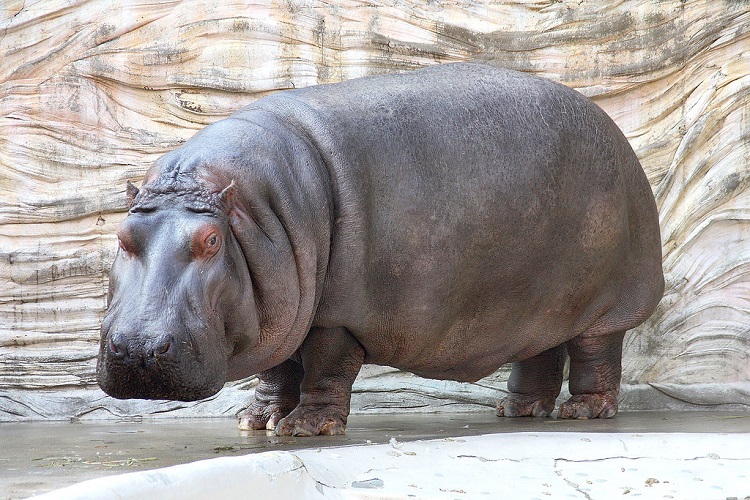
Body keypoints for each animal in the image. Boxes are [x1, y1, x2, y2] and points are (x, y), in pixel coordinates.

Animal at [97, 62, 668, 436]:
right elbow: (276, 369)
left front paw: (305, 428)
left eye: (212, 240)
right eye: (122, 236)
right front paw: (257, 421)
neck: (259, 212)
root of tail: (621, 139)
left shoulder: (336, 317)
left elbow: (324, 368)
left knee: (596, 353)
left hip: (610, 302)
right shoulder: (280, 308)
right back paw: (518, 412)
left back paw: (583, 412)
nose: (138, 349)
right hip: (537, 302)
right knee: (541, 351)